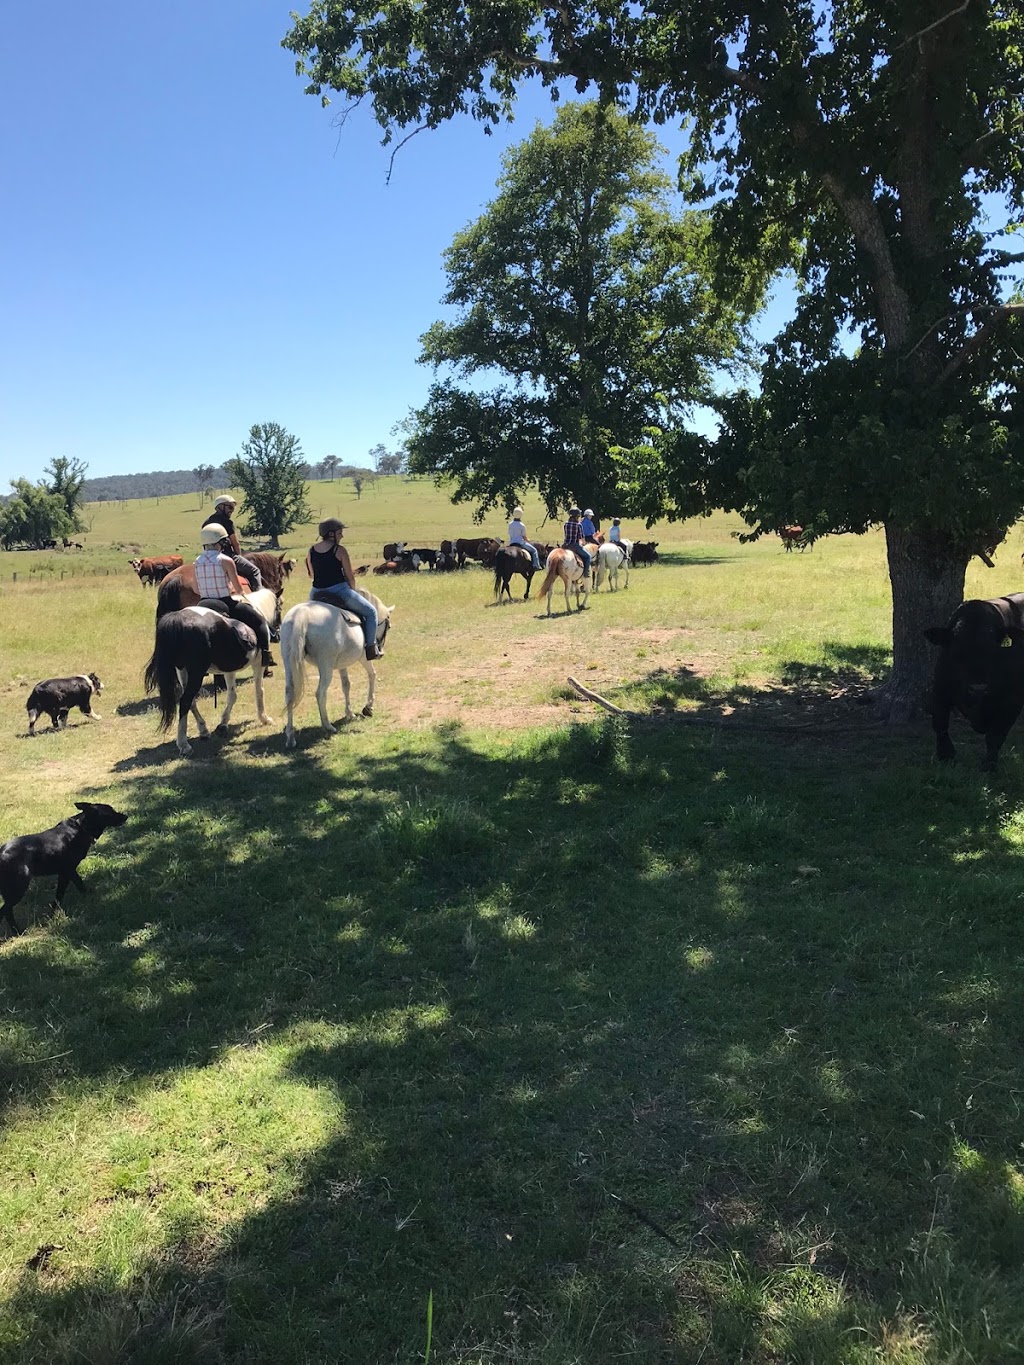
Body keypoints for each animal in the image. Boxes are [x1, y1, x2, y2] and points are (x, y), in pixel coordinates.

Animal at [0, 797, 127, 939]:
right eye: (109, 812)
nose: (125, 816)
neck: (81, 828)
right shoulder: (68, 870)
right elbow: (72, 888)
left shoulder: (65, 873)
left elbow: (63, 893)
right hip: (18, 888)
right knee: (5, 911)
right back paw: (18, 932)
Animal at [282, 586, 395, 753]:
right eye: (388, 626)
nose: (381, 652)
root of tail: (301, 614)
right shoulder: (363, 657)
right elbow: (372, 675)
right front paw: (368, 706)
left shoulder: (342, 664)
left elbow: (346, 685)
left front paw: (350, 713)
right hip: (326, 666)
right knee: (320, 693)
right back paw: (328, 726)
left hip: (289, 662)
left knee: (290, 693)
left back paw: (290, 738)